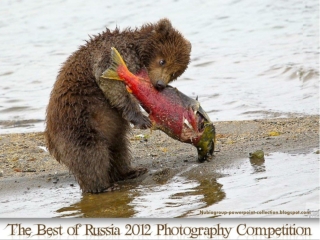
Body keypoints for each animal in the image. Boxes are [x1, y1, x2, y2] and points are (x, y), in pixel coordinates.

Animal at [44, 18, 191, 193]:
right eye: (162, 61)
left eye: (174, 72)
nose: (160, 84)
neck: (137, 49)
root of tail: (50, 138)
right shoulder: (114, 53)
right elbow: (111, 83)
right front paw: (142, 119)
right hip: (78, 124)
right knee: (91, 155)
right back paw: (102, 186)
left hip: (108, 128)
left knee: (119, 148)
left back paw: (130, 171)